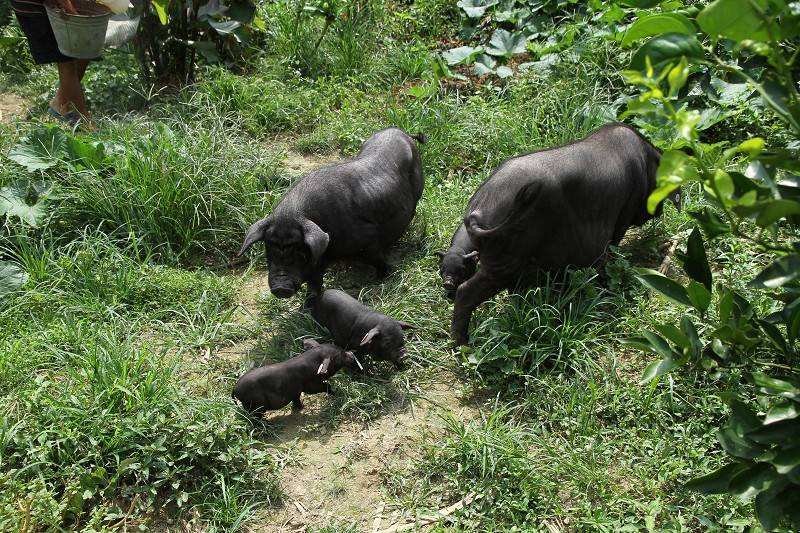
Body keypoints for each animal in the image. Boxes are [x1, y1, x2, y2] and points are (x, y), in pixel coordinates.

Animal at [238, 127, 424, 298]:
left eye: (298, 250)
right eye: (268, 248)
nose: (280, 288)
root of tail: (401, 131)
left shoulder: (370, 240)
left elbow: (377, 258)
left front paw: (382, 277)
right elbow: (314, 283)